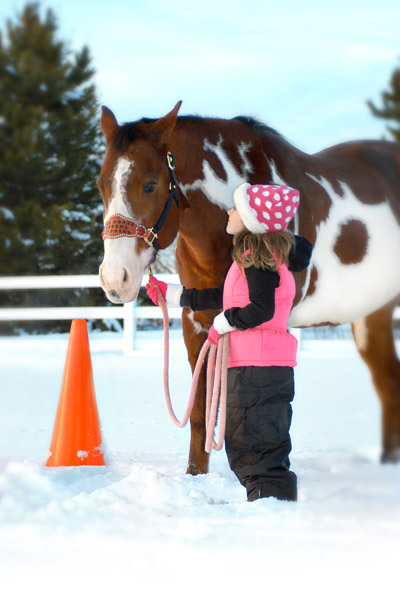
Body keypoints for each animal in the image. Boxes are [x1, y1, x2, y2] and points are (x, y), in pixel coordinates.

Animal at [97, 99, 400, 474]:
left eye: (150, 185)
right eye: (101, 185)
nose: (115, 279)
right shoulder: (196, 323)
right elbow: (201, 416)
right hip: (373, 314)